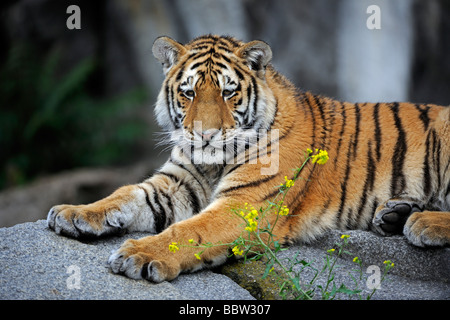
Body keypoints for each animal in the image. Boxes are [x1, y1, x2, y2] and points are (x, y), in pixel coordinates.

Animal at [46, 33, 450, 282]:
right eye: (189, 93)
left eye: (228, 93)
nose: (205, 134)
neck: (214, 161)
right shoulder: (175, 183)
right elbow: (124, 194)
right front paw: (74, 213)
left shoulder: (245, 204)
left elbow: (189, 231)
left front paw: (139, 255)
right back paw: (395, 214)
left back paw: (422, 223)